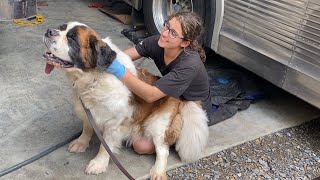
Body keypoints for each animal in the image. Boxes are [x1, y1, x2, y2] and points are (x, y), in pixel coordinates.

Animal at [42, 21, 209, 179]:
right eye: (61, 28)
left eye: (71, 39)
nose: (49, 31)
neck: (94, 78)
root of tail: (178, 97)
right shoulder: (88, 111)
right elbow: (87, 127)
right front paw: (81, 143)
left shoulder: (114, 123)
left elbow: (105, 146)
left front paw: (98, 164)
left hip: (158, 123)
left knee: (162, 150)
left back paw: (158, 171)